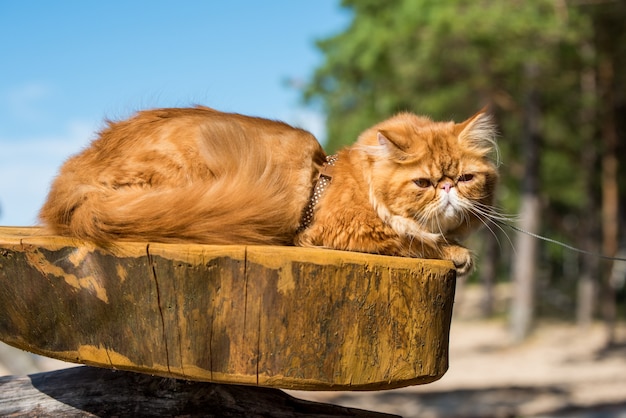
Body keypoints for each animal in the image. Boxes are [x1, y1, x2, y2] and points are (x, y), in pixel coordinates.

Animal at [39, 105, 498, 274]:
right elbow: (414, 239)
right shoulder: (347, 231)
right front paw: (457, 253)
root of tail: (76, 170)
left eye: (466, 178)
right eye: (423, 182)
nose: (447, 188)